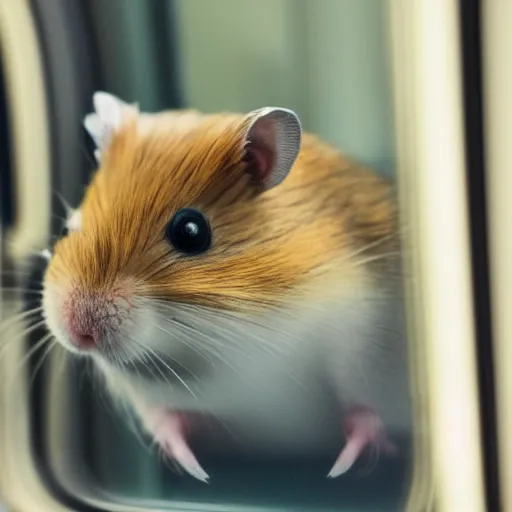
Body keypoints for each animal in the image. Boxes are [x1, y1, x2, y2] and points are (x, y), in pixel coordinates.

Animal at [41, 91, 412, 480]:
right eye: (67, 228)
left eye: (191, 231)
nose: (79, 335)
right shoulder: (144, 393)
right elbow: (164, 420)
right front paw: (195, 470)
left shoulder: (363, 335)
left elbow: (364, 412)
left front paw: (342, 467)